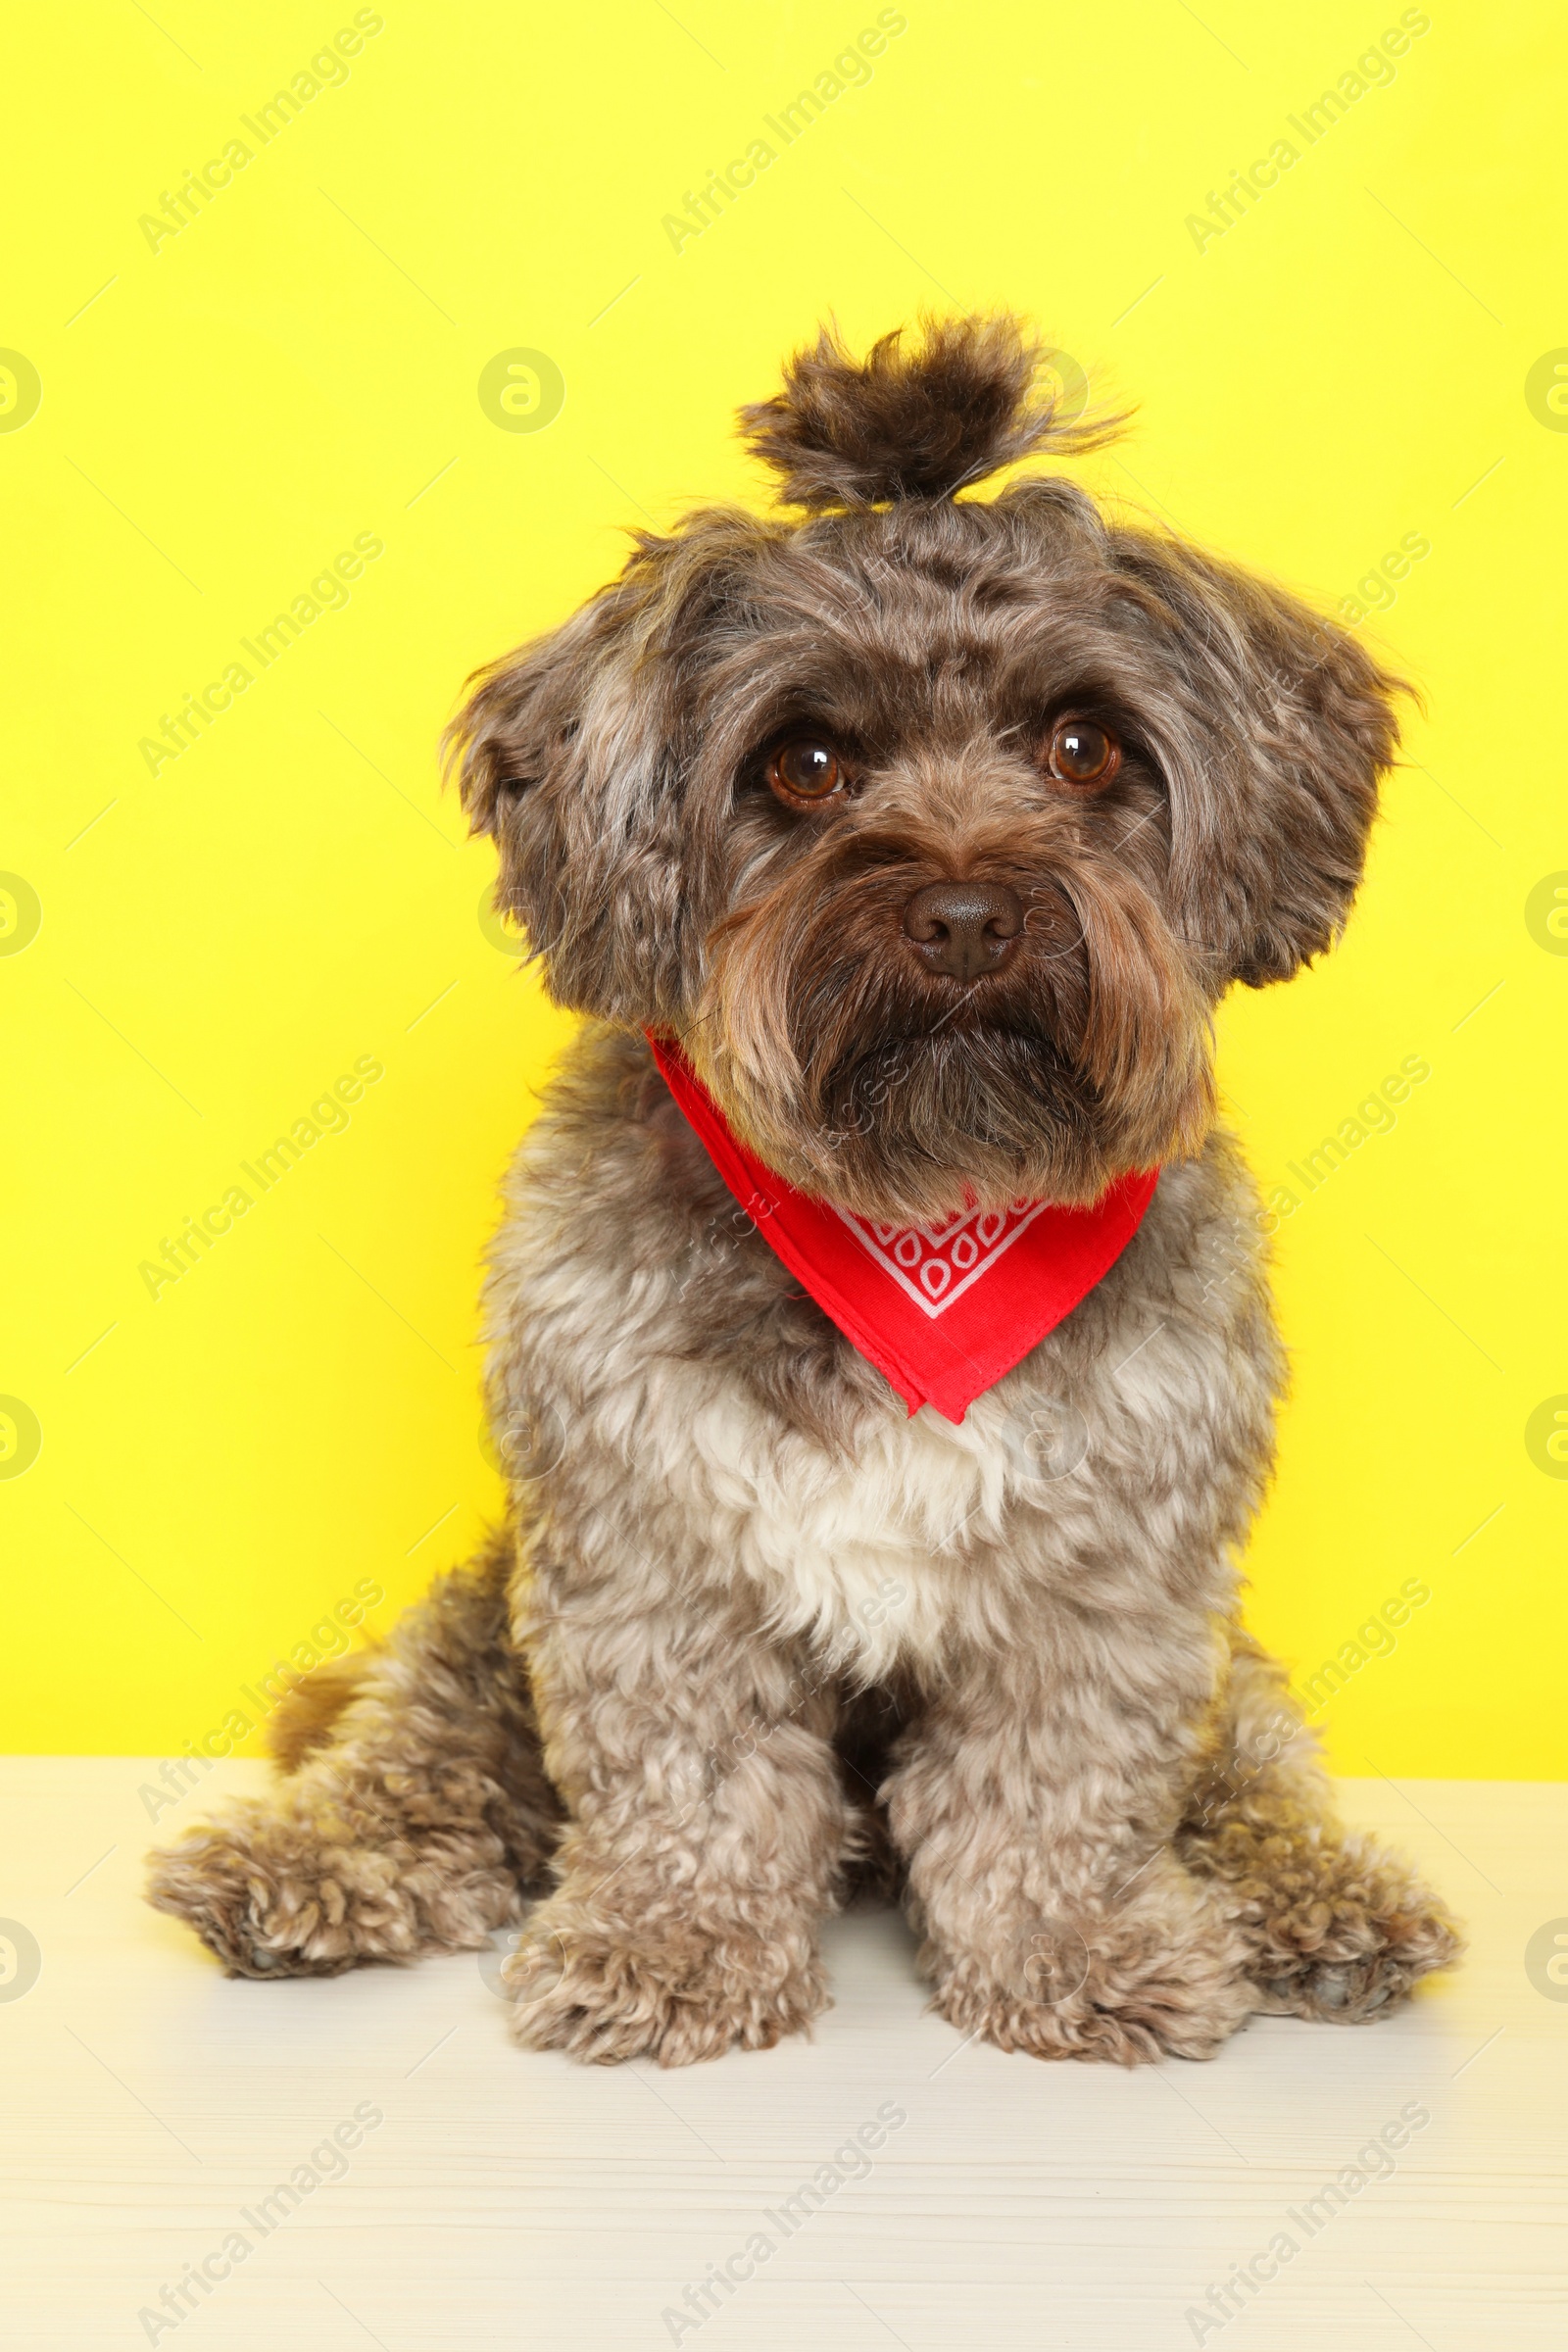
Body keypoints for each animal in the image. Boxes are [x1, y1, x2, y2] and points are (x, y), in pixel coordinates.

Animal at [146, 313, 1457, 2060]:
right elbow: (690, 1774)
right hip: (482, 1611)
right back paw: (306, 1865)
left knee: (1255, 1758)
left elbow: (1060, 1784)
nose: (966, 913)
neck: (921, 1210)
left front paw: (1073, 1952)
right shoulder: (646, 1540)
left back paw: (1320, 1900)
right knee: (420, 1736)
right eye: (810, 762)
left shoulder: (1116, 1568)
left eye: (1084, 746)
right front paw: (677, 1946)